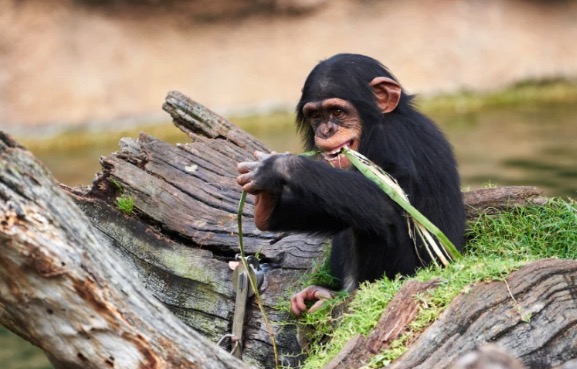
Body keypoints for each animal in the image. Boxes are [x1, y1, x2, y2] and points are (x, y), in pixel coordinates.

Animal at [236, 53, 466, 314]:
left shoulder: (392, 141)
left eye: (337, 111)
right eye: (316, 115)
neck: (374, 127)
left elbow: (385, 202)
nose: (326, 130)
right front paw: (265, 203)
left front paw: (276, 167)